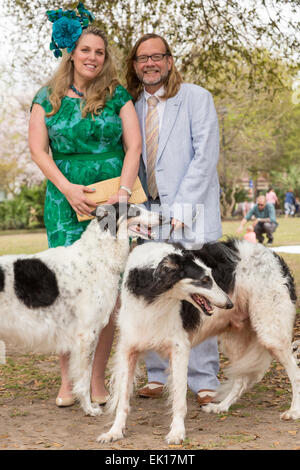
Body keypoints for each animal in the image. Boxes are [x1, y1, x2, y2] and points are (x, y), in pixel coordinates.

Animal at [0, 204, 162, 416]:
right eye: (135, 211)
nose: (164, 217)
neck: (96, 257)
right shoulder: (86, 335)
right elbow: (84, 378)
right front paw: (89, 409)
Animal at [99, 239, 300, 444]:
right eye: (204, 280)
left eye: (212, 276)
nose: (229, 303)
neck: (152, 295)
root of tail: (274, 255)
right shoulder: (128, 349)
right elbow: (123, 400)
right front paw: (115, 431)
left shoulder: (179, 348)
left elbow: (179, 399)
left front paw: (177, 432)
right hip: (234, 340)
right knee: (241, 378)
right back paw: (221, 407)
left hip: (271, 334)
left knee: (295, 372)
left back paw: (293, 411)